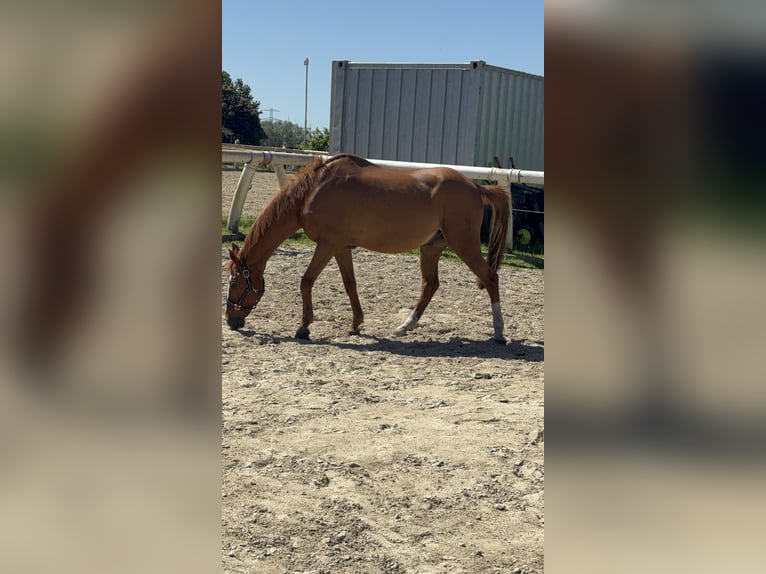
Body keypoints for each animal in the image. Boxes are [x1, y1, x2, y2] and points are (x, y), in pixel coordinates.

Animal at [224, 153, 511, 343]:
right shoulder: (341, 247)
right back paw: (404, 327)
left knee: (491, 278)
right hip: (430, 249)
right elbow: (350, 284)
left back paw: (499, 332)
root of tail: (476, 186)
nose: (231, 321)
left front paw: (304, 327)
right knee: (430, 285)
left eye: (235, 282)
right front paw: (355, 325)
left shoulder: (327, 245)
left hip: (464, 245)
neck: (315, 189)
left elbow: (306, 281)